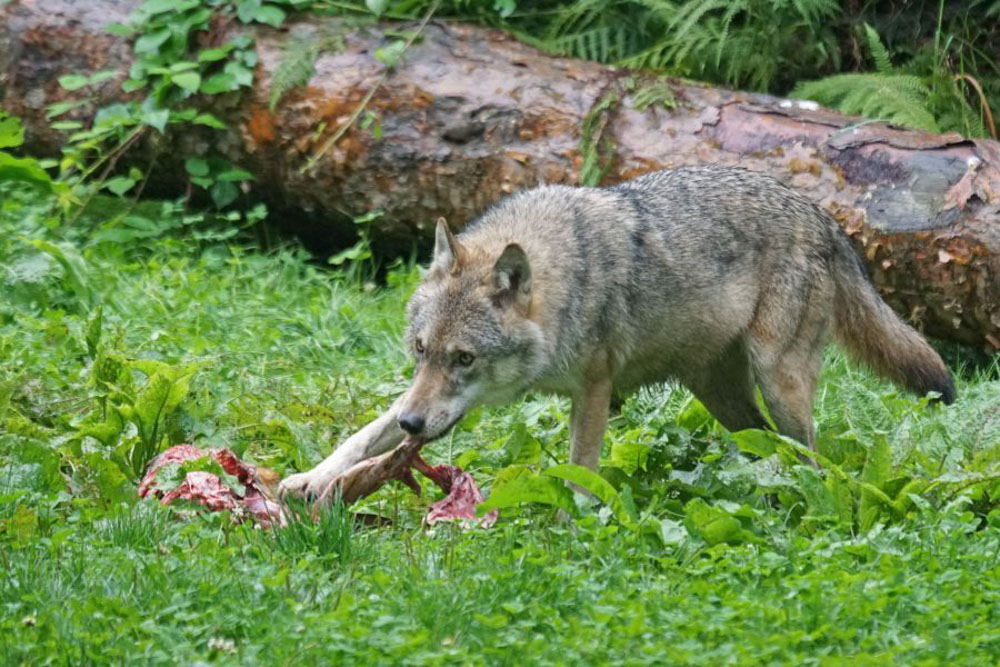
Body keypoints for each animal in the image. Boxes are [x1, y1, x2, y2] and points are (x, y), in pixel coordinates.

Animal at [280, 166, 955, 499]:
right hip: (721, 394)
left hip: (777, 380)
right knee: (766, 444)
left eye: (464, 359)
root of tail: (823, 215)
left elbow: (580, 466)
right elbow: (362, 434)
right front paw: (310, 479)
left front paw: (573, 527)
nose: (415, 426)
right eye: (422, 351)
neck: (563, 281)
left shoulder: (595, 390)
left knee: (811, 456)